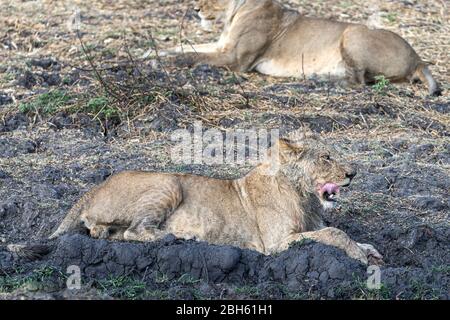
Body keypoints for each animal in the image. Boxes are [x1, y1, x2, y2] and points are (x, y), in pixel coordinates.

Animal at [51, 130, 382, 264]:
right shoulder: (276, 243)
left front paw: (369, 249)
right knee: (136, 231)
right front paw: (359, 255)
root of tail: (96, 186)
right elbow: (334, 232)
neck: (304, 196)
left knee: (105, 232)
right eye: (326, 157)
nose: (353, 173)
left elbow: (340, 232)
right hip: (169, 182)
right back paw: (178, 238)